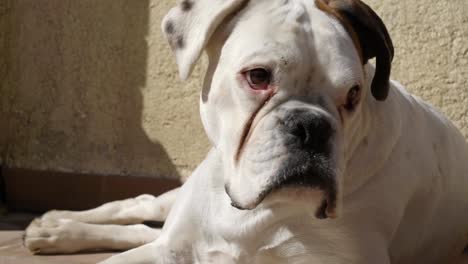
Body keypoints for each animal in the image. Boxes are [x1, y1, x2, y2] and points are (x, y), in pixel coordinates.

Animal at [23, 0, 468, 264]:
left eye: (354, 94)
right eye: (258, 77)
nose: (312, 126)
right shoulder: (169, 252)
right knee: (141, 206)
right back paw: (58, 223)